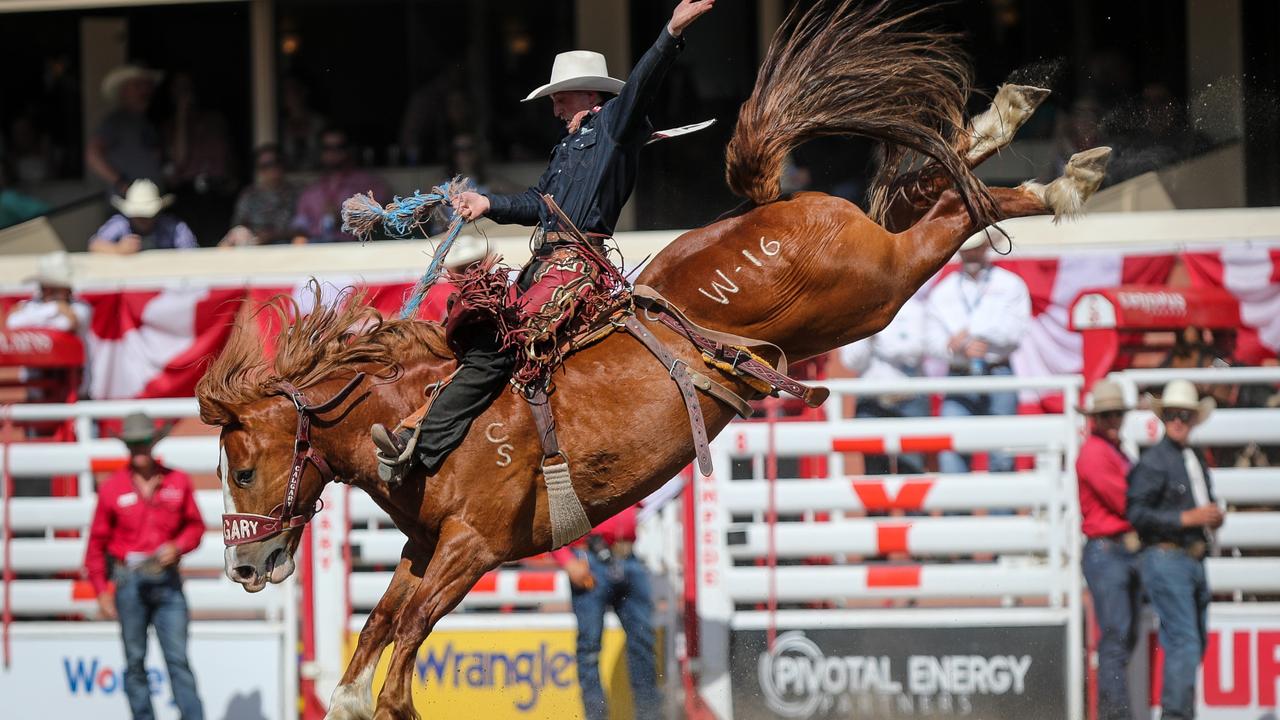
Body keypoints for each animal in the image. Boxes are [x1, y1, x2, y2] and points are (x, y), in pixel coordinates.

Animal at [197, 2, 1111, 712]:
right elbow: (380, 634)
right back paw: (1022, 136)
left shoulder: (472, 549)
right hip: (866, 287)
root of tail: (771, 205)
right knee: (946, 186)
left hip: (874, 286)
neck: (415, 413)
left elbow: (398, 666)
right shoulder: (425, 550)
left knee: (952, 213)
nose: (244, 563)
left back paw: (1052, 166)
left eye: (241, 469)